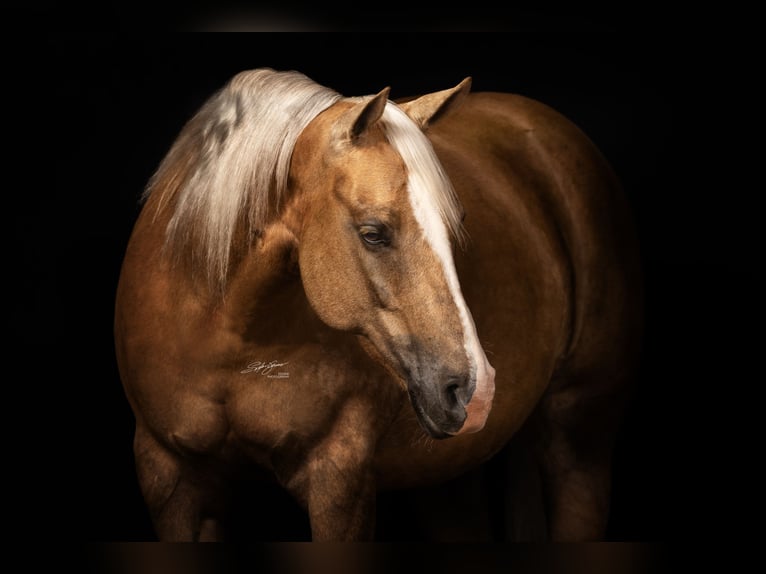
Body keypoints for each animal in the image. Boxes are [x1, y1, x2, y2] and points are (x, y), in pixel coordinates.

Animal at [114, 68, 643, 541]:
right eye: (373, 233)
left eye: (456, 228)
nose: (476, 391)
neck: (231, 339)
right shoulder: (170, 478)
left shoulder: (338, 483)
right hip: (447, 480)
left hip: (578, 437)